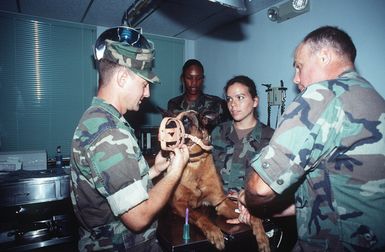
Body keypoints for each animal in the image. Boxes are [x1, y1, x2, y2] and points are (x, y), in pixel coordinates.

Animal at [158, 110, 268, 252]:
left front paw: (262, 236)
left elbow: (253, 217)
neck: (195, 164)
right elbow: (200, 215)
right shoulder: (179, 204)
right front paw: (214, 231)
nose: (168, 124)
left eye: (186, 120)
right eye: (172, 117)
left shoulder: (221, 203)